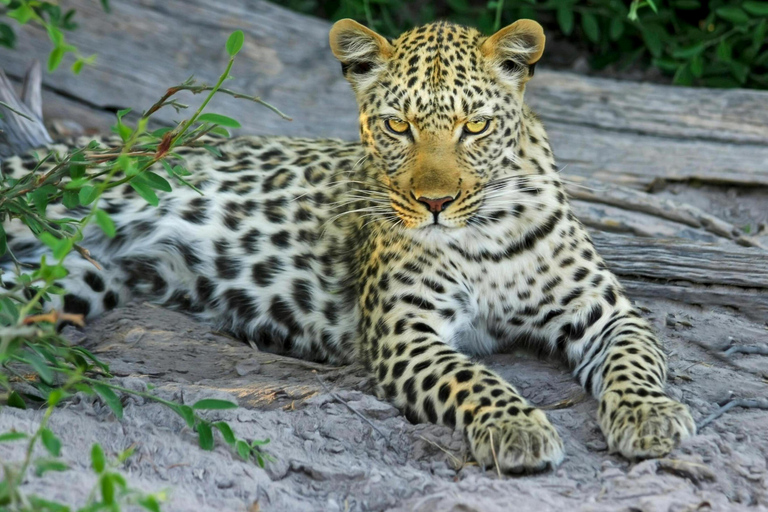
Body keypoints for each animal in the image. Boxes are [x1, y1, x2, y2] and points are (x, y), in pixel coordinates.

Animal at [1, 18, 696, 474]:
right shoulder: (404, 333)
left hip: (70, 281)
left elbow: (636, 360)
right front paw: (516, 425)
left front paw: (651, 417)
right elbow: (474, 377)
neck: (485, 231)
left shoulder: (606, 312)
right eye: (397, 126)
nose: (435, 203)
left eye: (475, 126)